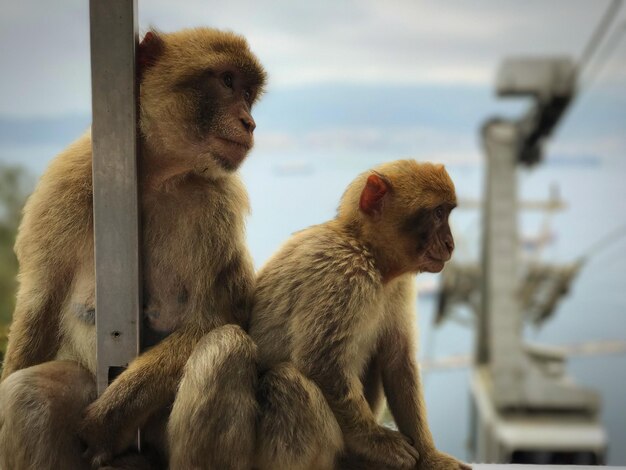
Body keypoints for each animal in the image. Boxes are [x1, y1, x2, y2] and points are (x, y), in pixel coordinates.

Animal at [0, 28, 266, 470]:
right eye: (228, 82)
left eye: (247, 92)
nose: (250, 122)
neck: (155, 177)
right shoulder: (63, 189)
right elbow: (40, 306)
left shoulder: (217, 205)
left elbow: (214, 317)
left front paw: (109, 420)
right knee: (28, 395)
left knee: (224, 349)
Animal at [194, 160, 468, 468]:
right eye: (438, 213)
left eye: (446, 212)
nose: (450, 244)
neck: (369, 252)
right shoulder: (344, 272)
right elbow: (321, 365)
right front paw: (380, 442)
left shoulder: (399, 285)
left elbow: (398, 360)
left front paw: (431, 457)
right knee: (288, 385)